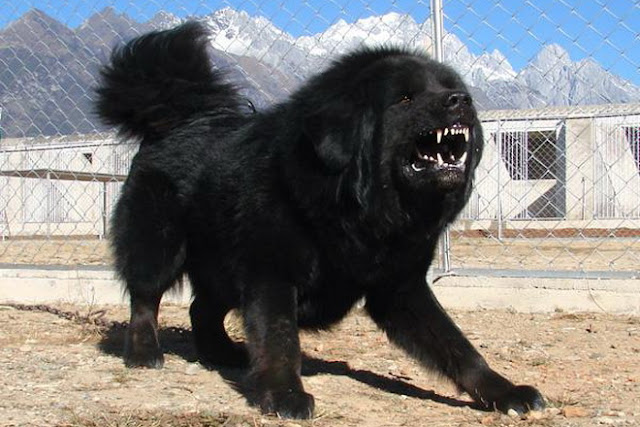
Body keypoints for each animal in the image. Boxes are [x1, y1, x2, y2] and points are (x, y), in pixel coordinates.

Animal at [96, 21, 544, 420]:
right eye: (405, 99)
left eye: (451, 87)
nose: (461, 100)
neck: (355, 208)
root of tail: (178, 118)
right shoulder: (271, 275)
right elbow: (280, 339)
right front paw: (283, 394)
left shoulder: (399, 286)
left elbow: (457, 346)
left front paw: (504, 391)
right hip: (159, 246)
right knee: (145, 299)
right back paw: (144, 353)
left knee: (201, 311)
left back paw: (223, 354)